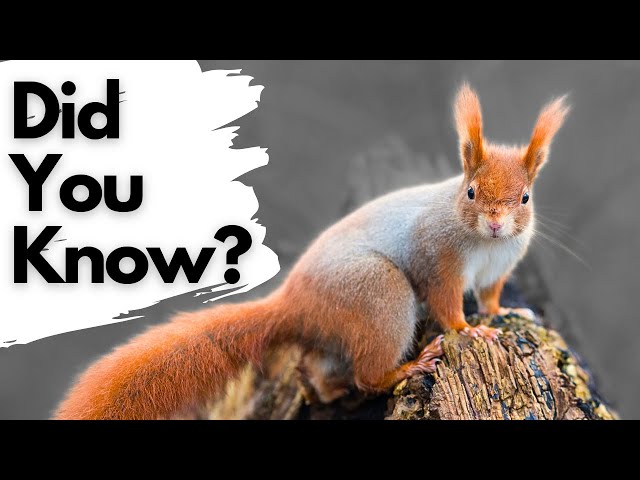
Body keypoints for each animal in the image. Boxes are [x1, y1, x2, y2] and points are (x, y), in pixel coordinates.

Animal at [54, 84, 569, 420]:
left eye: (525, 198)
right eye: (471, 192)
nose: (497, 221)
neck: (485, 244)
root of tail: (294, 303)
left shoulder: (498, 268)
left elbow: (492, 295)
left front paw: (504, 313)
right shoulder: (437, 257)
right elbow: (446, 302)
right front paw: (470, 330)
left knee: (324, 377)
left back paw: (337, 388)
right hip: (378, 296)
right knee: (369, 373)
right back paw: (407, 367)